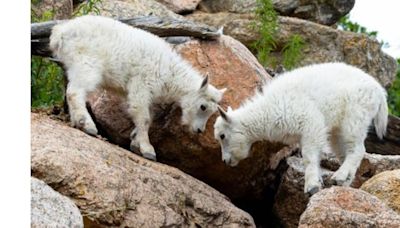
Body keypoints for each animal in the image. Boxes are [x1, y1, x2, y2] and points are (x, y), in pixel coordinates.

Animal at [49, 15, 225, 160]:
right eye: (203, 107)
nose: (199, 130)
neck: (170, 74)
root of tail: (60, 33)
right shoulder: (142, 85)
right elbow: (144, 117)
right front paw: (147, 150)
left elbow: (144, 116)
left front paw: (134, 141)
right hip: (87, 63)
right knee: (75, 91)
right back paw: (87, 125)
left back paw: (76, 122)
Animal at [216, 62, 388, 194]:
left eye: (222, 136)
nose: (225, 161)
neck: (268, 111)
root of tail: (379, 91)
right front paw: (317, 182)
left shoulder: (310, 122)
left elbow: (309, 156)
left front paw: (312, 187)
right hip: (338, 130)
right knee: (345, 152)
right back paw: (343, 181)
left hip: (356, 116)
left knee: (357, 149)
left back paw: (339, 176)